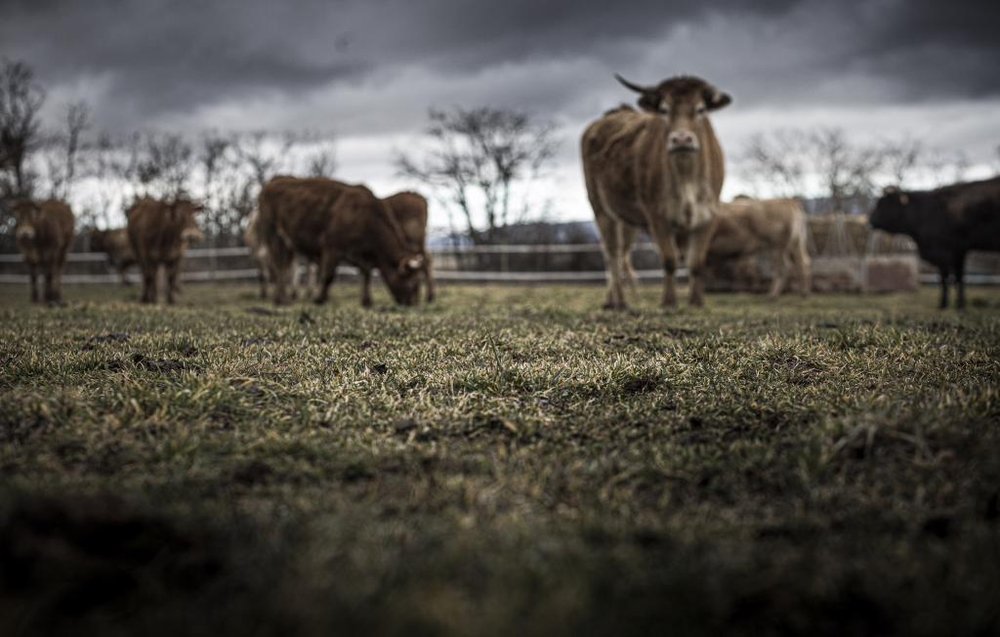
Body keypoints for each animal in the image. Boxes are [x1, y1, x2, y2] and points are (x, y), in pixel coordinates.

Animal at [256, 174, 424, 306]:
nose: (410, 303)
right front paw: (320, 299)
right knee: (278, 268)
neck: (364, 216)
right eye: (409, 279)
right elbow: (328, 275)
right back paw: (281, 299)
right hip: (273, 237)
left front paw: (367, 301)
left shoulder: (364, 256)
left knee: (283, 268)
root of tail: (272, 183)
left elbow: (366, 275)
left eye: (417, 280)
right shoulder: (332, 248)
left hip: (287, 245)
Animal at [584, 74, 732, 308]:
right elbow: (669, 259)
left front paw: (696, 301)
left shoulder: (709, 215)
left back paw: (612, 300)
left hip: (626, 220)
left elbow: (697, 262)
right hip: (600, 209)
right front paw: (668, 301)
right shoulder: (657, 216)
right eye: (664, 109)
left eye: (700, 109)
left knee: (621, 255)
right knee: (612, 254)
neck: (685, 176)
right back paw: (619, 302)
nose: (681, 139)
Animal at [868, 178, 1000, 310]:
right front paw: (958, 305)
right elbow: (956, 278)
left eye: (883, 203)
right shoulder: (959, 251)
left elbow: (947, 278)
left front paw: (946, 304)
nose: (870, 221)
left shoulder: (945, 251)